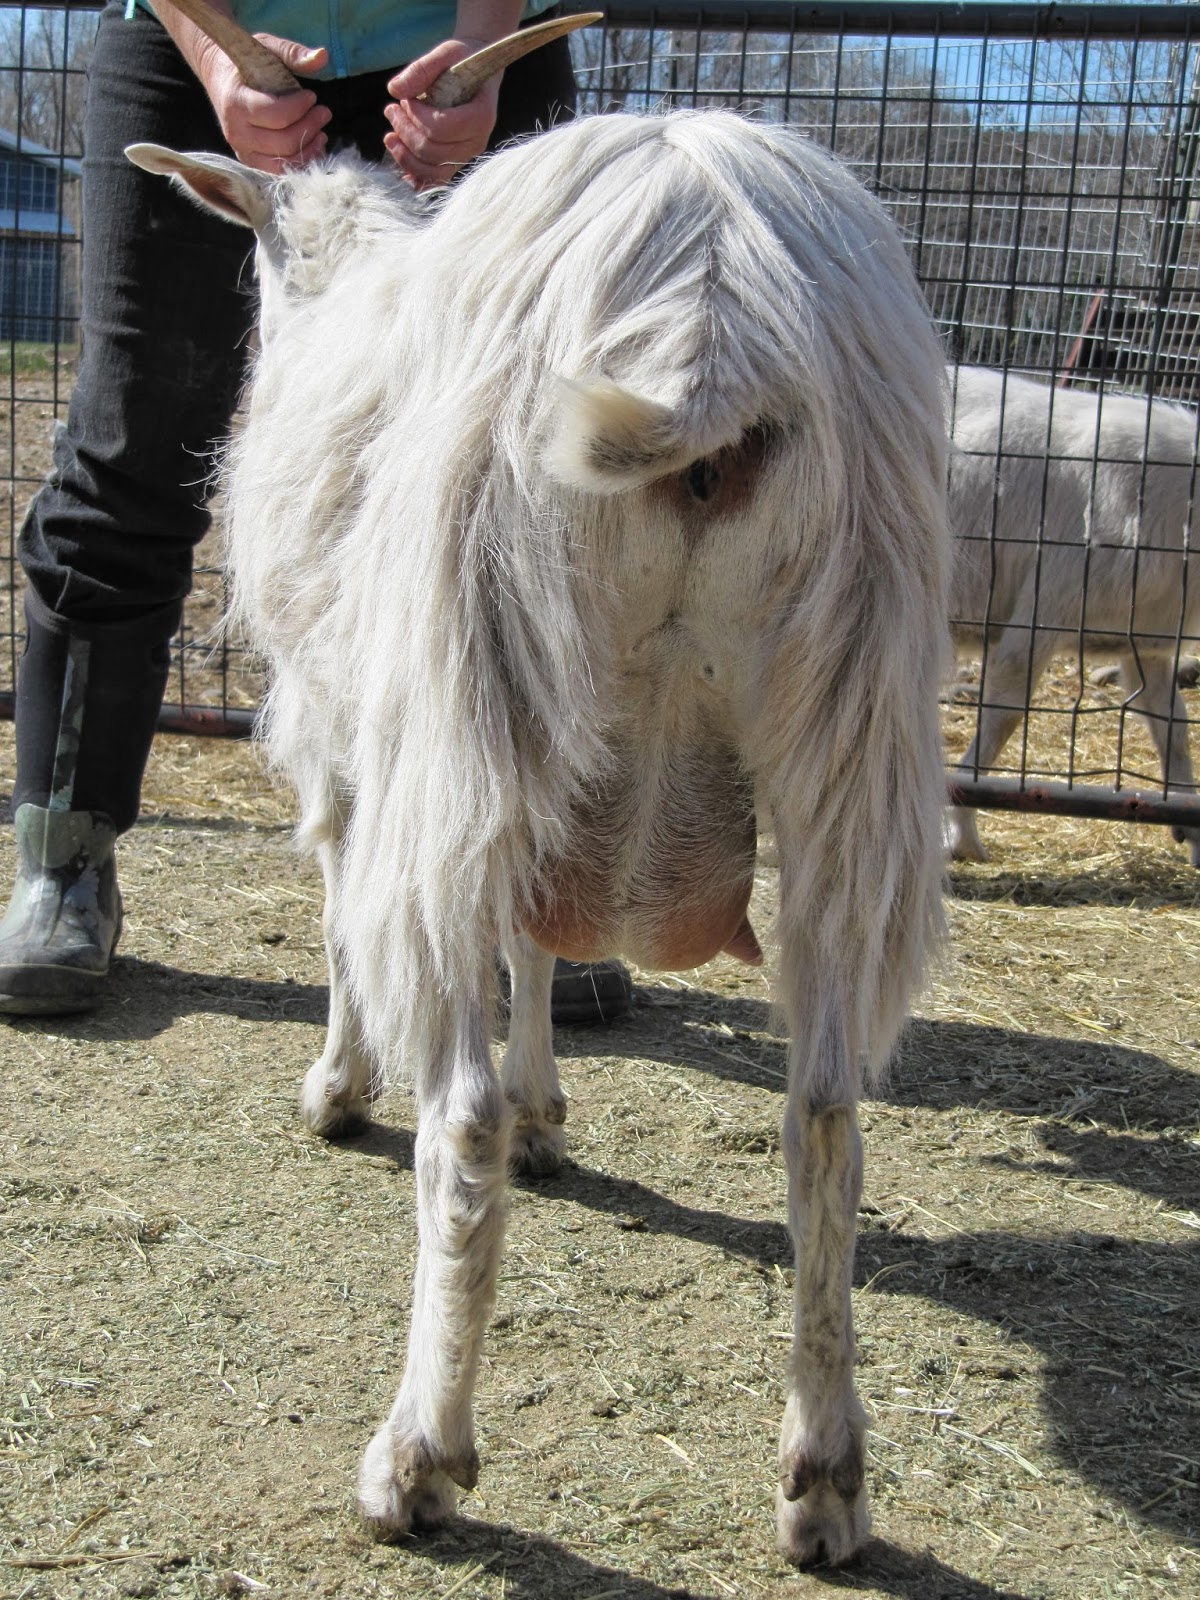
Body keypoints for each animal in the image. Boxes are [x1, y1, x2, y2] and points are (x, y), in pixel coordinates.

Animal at [129, 109, 950, 1566]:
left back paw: (418, 1458)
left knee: (452, 1124)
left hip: (471, 661)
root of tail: (707, 296)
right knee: (825, 1119)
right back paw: (826, 1481)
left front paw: (341, 1087)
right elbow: (539, 938)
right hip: (850, 717)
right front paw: (549, 1108)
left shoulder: (348, 730)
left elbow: (341, 915)